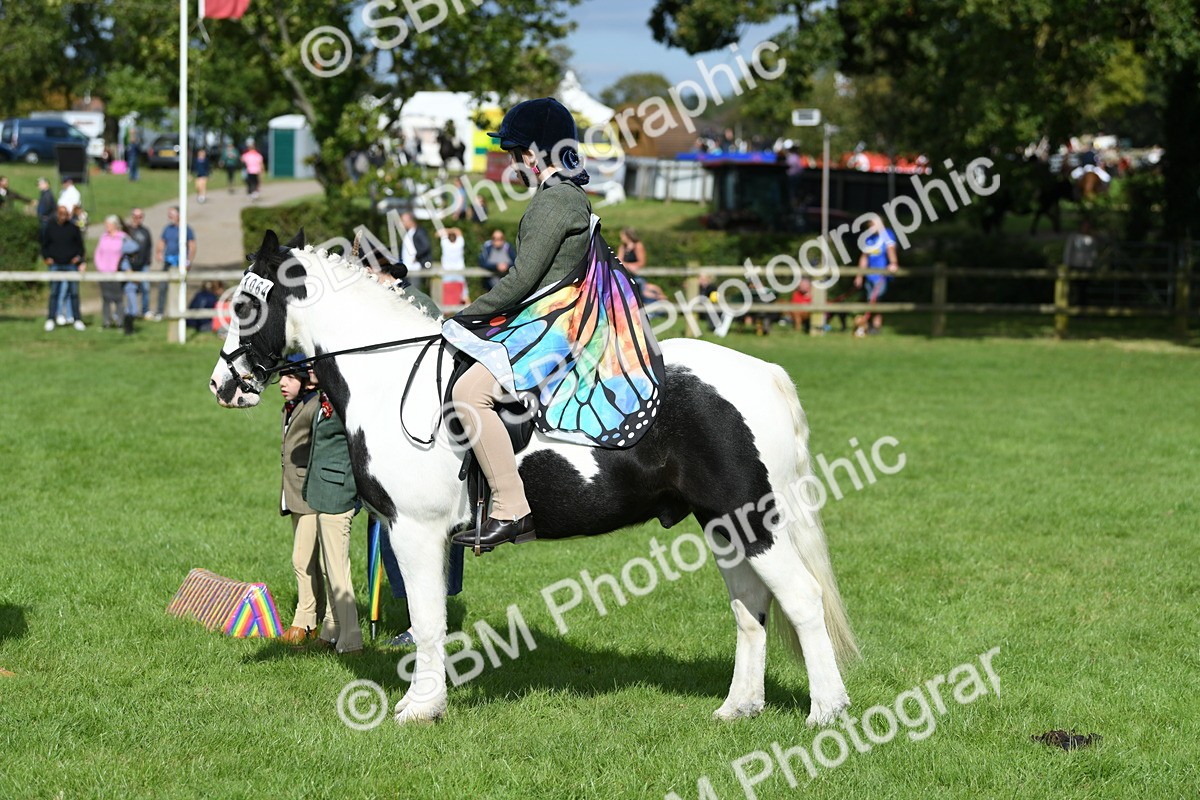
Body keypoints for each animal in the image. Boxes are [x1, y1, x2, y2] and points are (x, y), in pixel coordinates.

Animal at [209, 230, 858, 726]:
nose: (223, 384)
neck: (391, 377)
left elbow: (426, 622)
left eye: (243, 306)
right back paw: (738, 708)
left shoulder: (414, 532)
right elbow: (430, 621)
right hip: (725, 525)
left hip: (755, 520)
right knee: (751, 608)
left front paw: (420, 708)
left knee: (800, 599)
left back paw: (826, 713)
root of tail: (763, 373)